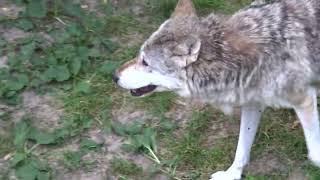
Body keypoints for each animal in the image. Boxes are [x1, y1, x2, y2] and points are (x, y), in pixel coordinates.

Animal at [112, 0, 320, 179]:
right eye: (139, 56)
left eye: (145, 62)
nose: (114, 76)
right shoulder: (252, 104)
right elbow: (242, 147)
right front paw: (232, 174)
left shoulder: (303, 99)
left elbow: (314, 151)